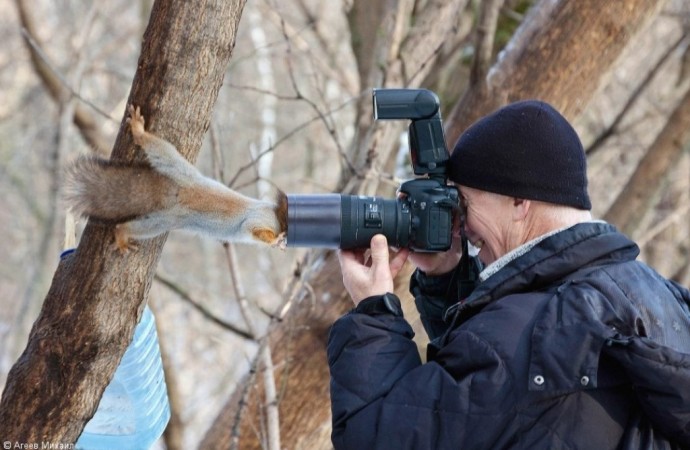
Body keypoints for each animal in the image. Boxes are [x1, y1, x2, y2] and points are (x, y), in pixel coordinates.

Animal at [66, 105, 286, 253]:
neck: (277, 213)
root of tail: (180, 191)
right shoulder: (262, 217)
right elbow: (252, 227)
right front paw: (275, 241)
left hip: (175, 168)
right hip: (168, 218)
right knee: (130, 227)